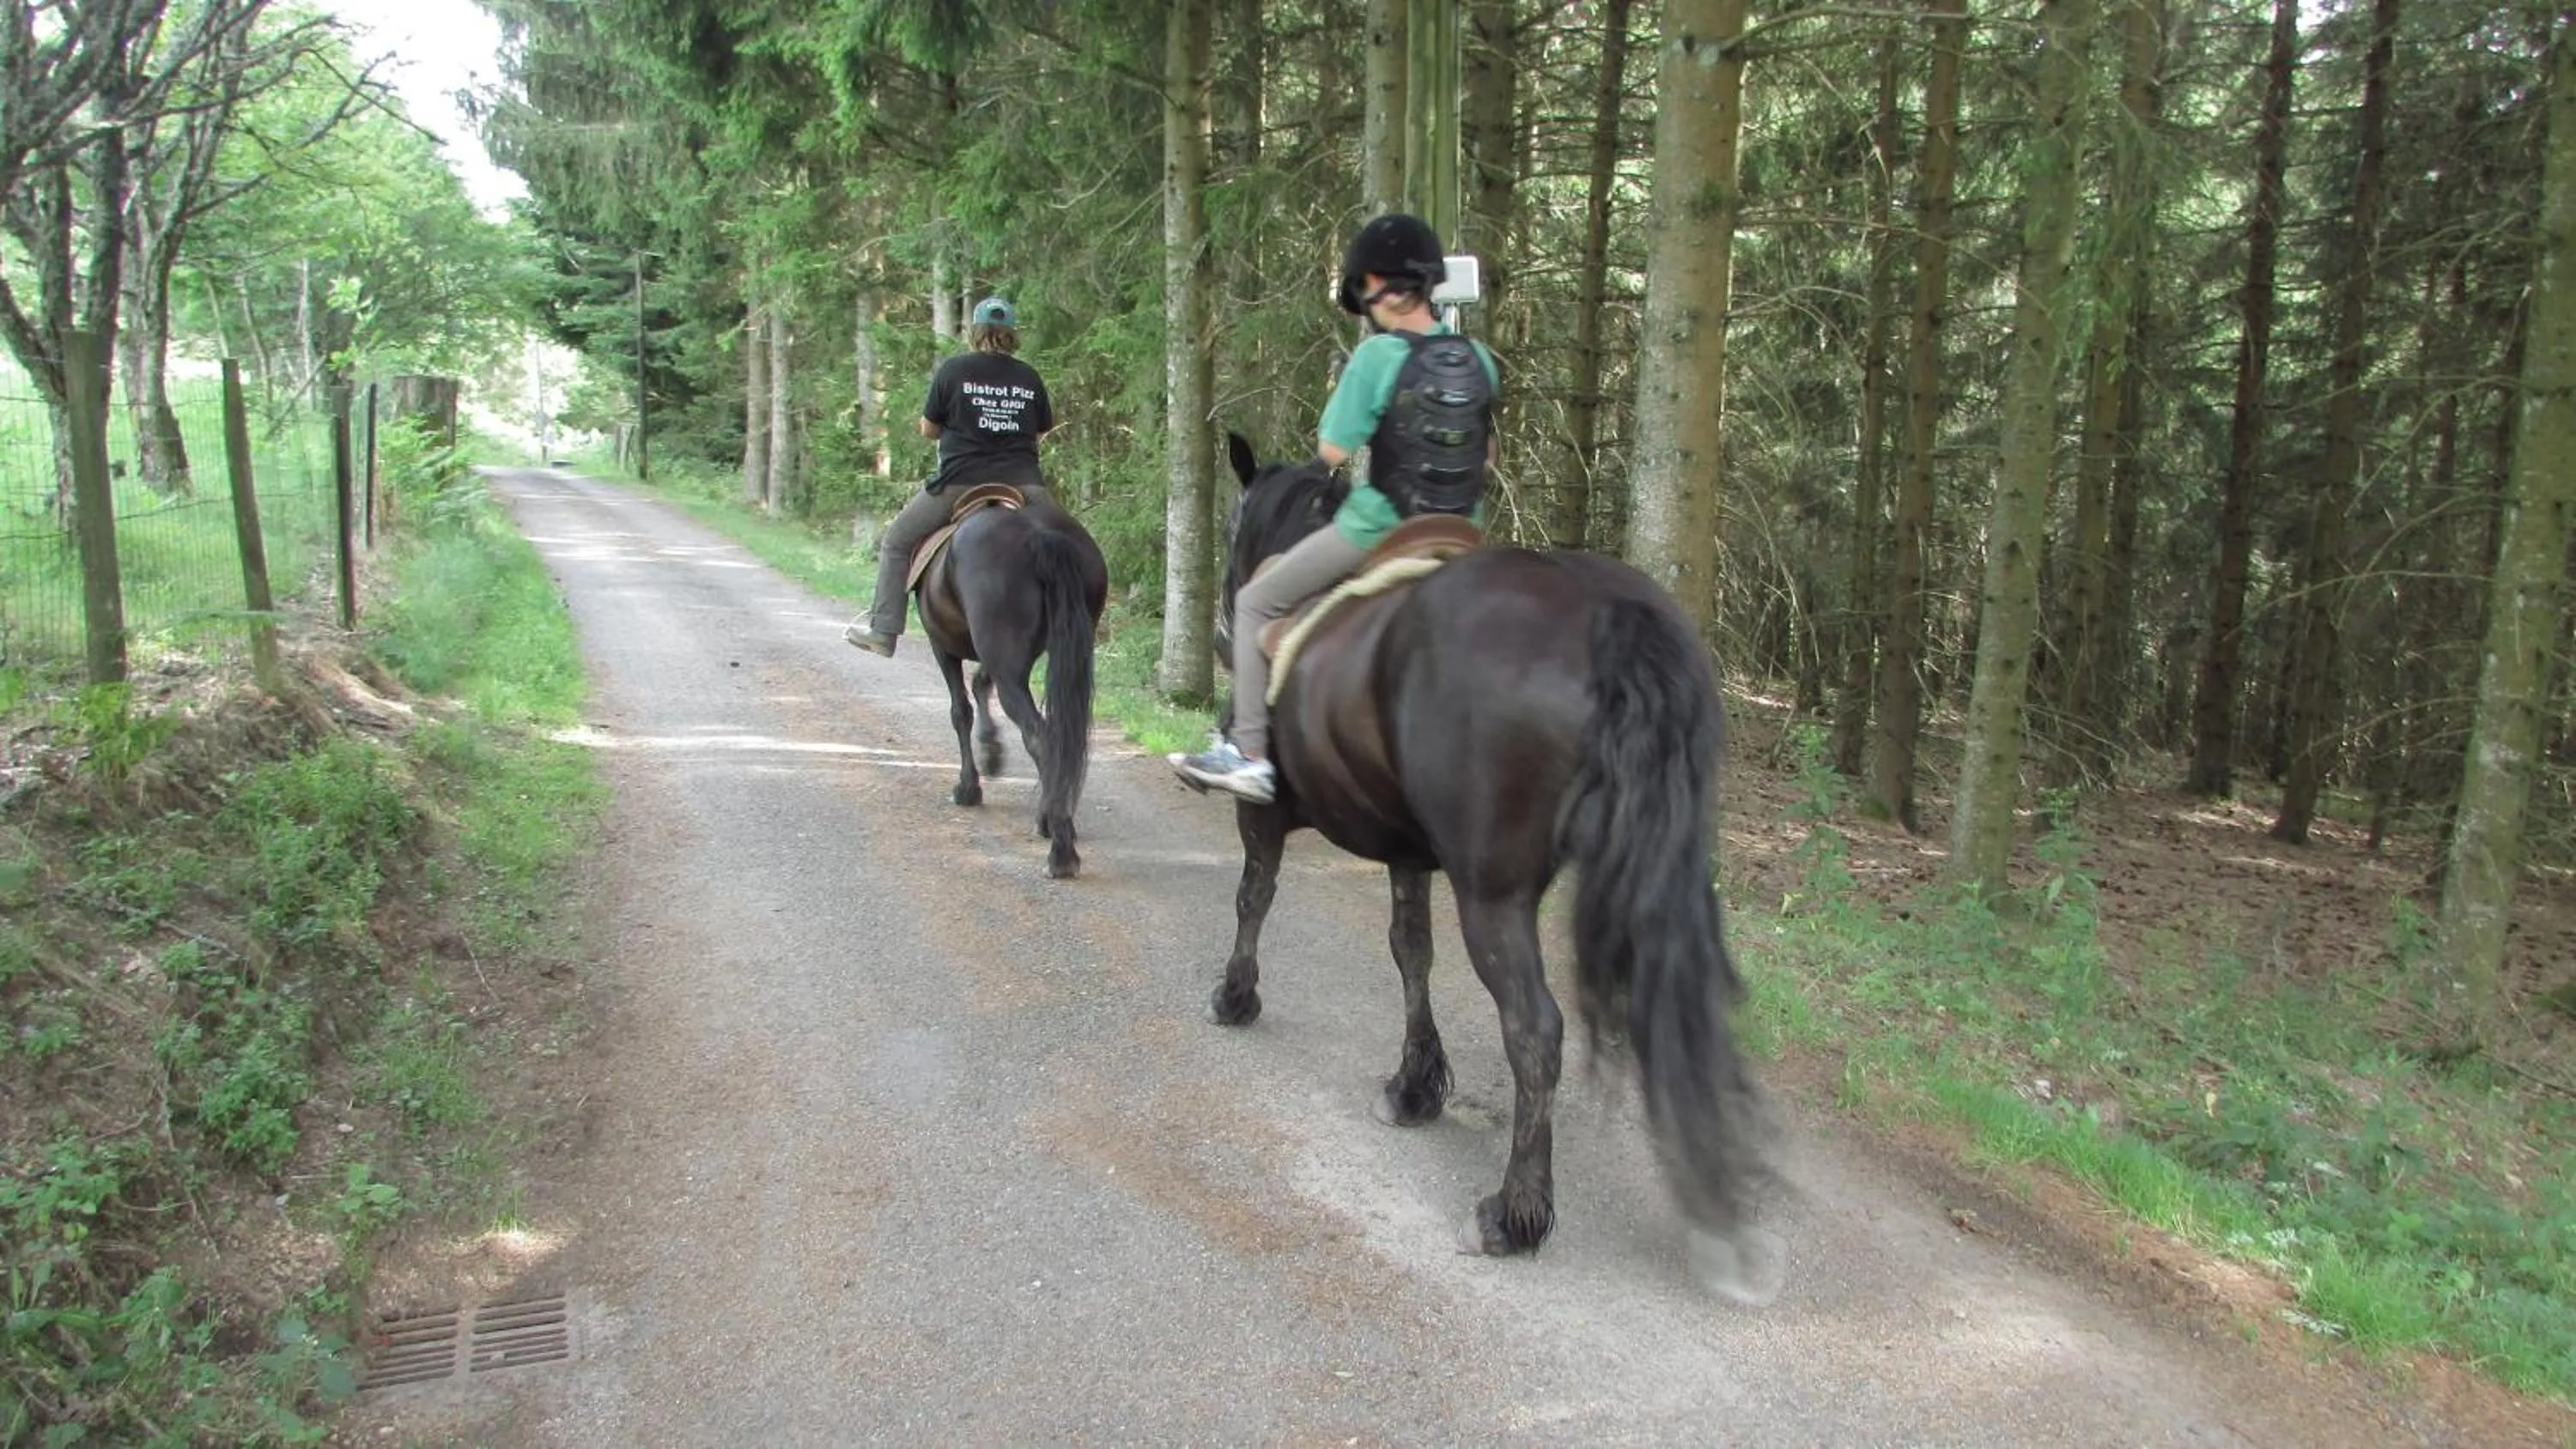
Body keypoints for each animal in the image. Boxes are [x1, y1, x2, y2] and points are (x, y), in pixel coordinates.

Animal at [911, 489, 1108, 879]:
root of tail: (1040, 534)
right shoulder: (1001, 660)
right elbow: (979, 685)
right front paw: (992, 752)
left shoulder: (942, 646)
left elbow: (960, 711)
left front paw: (968, 788)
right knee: (1056, 736)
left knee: (1041, 737)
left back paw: (1059, 848)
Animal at [1196, 435, 1777, 1298]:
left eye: (1234, 522)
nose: (1221, 626)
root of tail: (1607, 615)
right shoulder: (1407, 849)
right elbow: (1410, 951)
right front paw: (1413, 1087)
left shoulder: (1264, 815)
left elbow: (1253, 897)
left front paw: (1236, 997)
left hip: (1494, 893)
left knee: (1534, 1030)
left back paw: (1514, 1213)